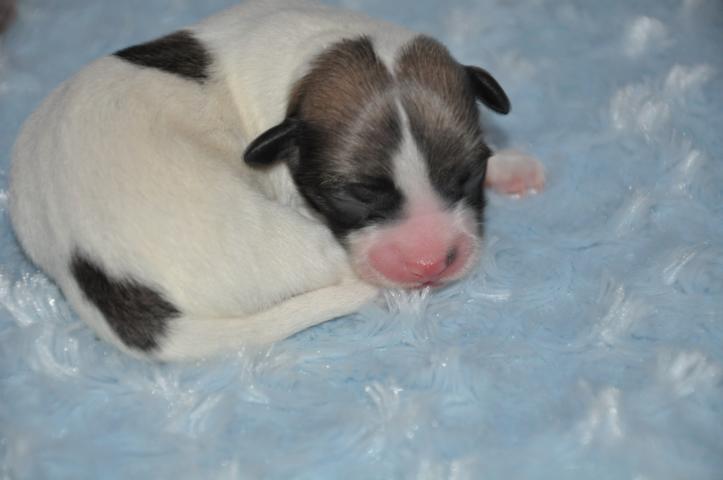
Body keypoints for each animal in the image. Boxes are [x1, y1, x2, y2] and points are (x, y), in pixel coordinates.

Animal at [9, 0, 544, 361]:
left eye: (468, 175)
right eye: (355, 195)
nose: (430, 264)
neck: (326, 48)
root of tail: (85, 272)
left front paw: (512, 166)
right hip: (276, 240)